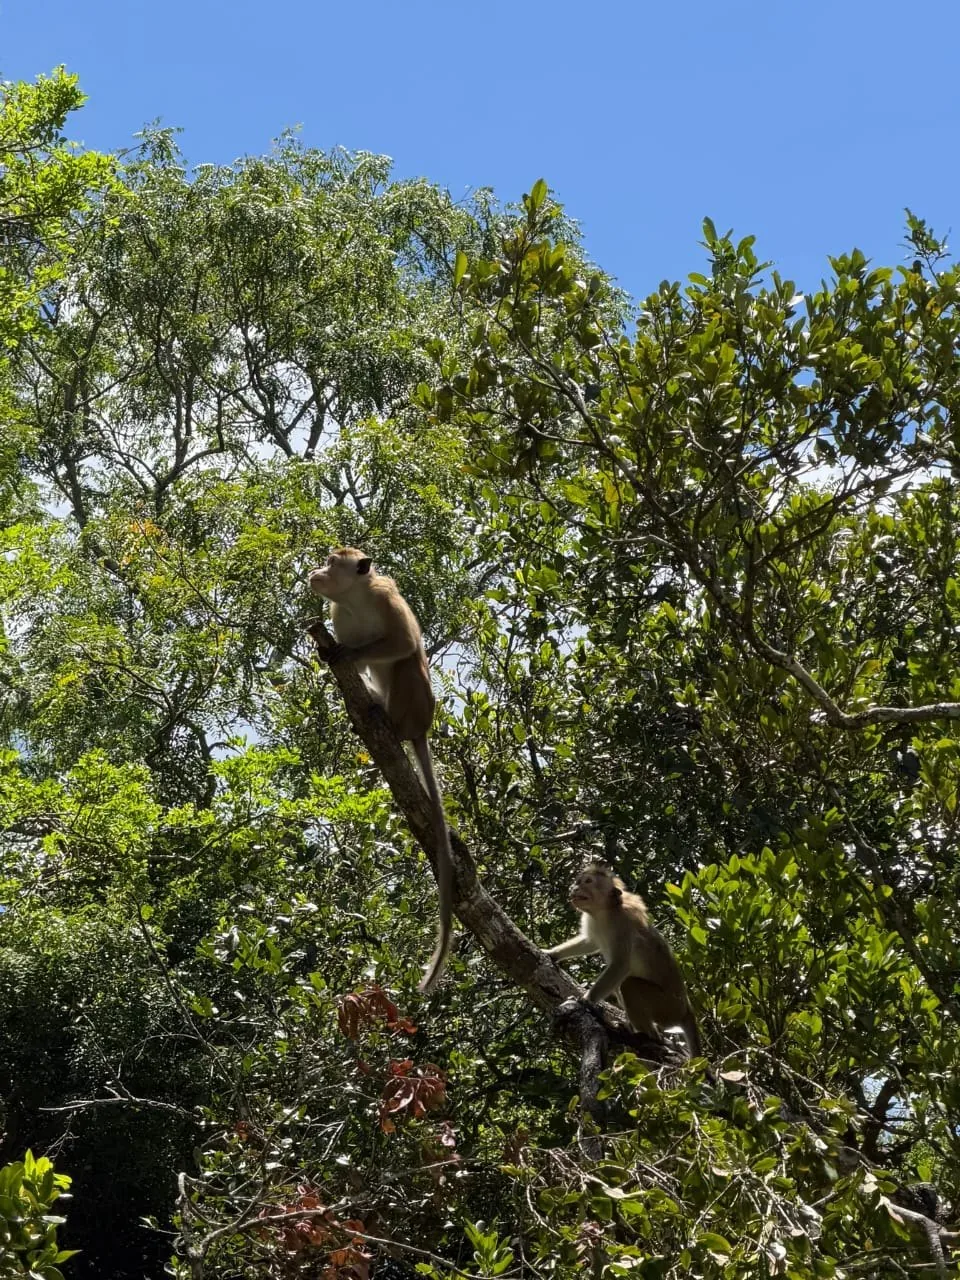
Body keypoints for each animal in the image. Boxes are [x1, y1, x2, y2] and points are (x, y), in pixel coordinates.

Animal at [307, 547, 453, 993]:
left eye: (331, 562)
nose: (315, 570)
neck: (355, 598)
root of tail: (421, 728)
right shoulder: (337, 613)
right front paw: (331, 656)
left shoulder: (386, 601)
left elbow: (405, 642)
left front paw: (351, 655)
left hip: (418, 706)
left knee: (408, 663)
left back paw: (389, 721)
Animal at [545, 862, 702, 1058]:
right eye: (578, 881)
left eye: (588, 881)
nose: (574, 888)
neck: (604, 911)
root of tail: (687, 1009)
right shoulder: (592, 921)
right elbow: (589, 943)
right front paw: (551, 953)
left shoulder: (622, 924)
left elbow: (620, 965)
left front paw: (586, 1000)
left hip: (668, 1007)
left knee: (629, 984)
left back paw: (650, 1034)